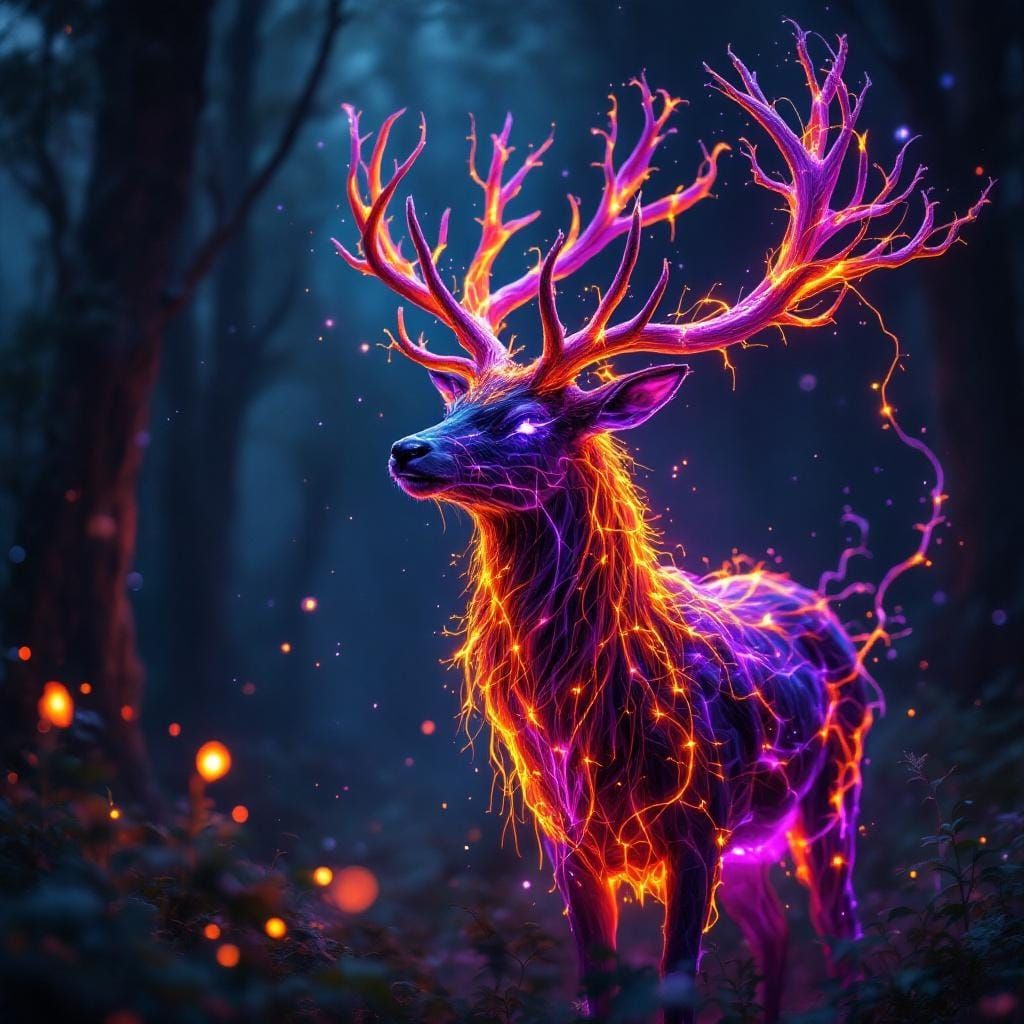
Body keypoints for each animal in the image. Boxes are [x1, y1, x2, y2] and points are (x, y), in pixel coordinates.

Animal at [333, 24, 987, 1023]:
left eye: (525, 421)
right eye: (461, 400)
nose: (408, 450)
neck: (596, 718)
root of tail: (823, 610)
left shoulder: (692, 822)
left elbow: (678, 985)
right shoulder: (569, 840)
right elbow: (601, 988)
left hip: (832, 793)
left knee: (842, 936)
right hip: (755, 842)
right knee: (777, 934)